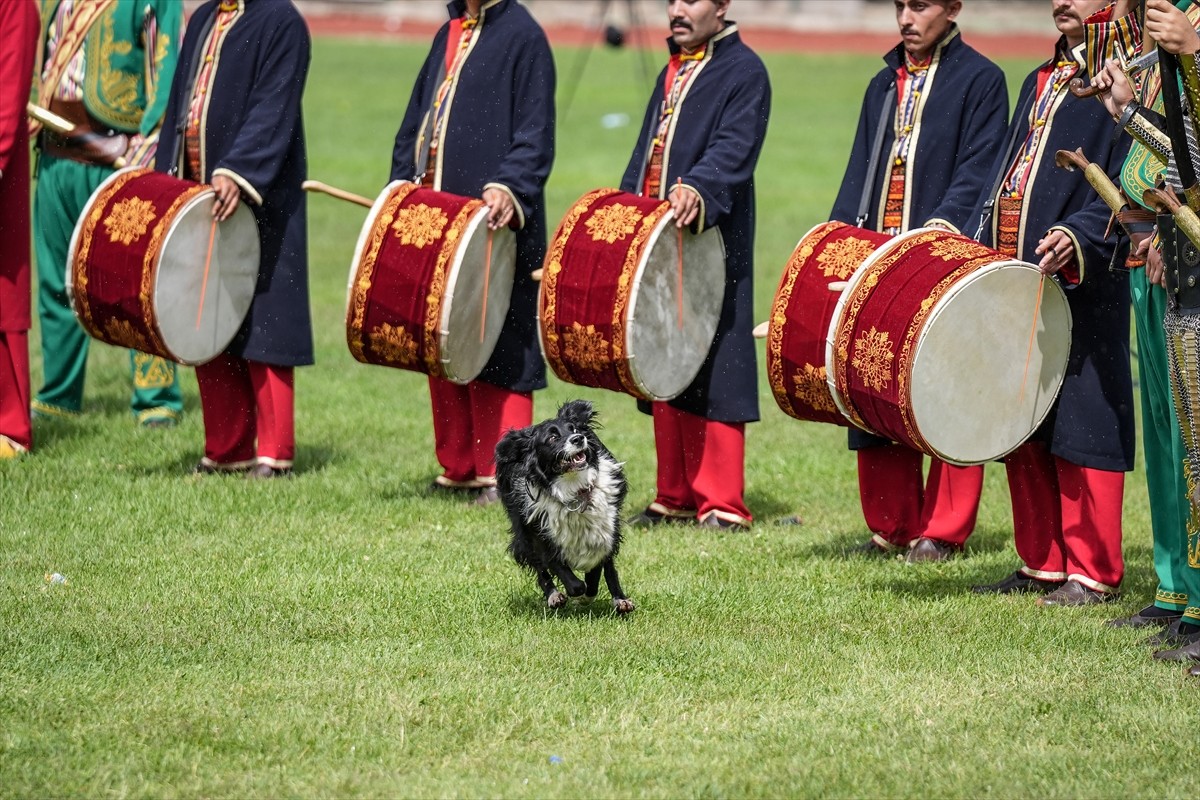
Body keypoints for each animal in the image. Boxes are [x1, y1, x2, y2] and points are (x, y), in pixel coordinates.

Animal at [492, 400, 633, 614]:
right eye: (552, 437)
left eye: (573, 429)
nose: (579, 438)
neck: (573, 489)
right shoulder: (539, 530)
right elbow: (564, 574)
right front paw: (575, 593)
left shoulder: (606, 530)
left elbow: (600, 567)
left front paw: (595, 594)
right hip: (523, 531)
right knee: (540, 568)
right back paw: (554, 596)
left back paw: (620, 600)